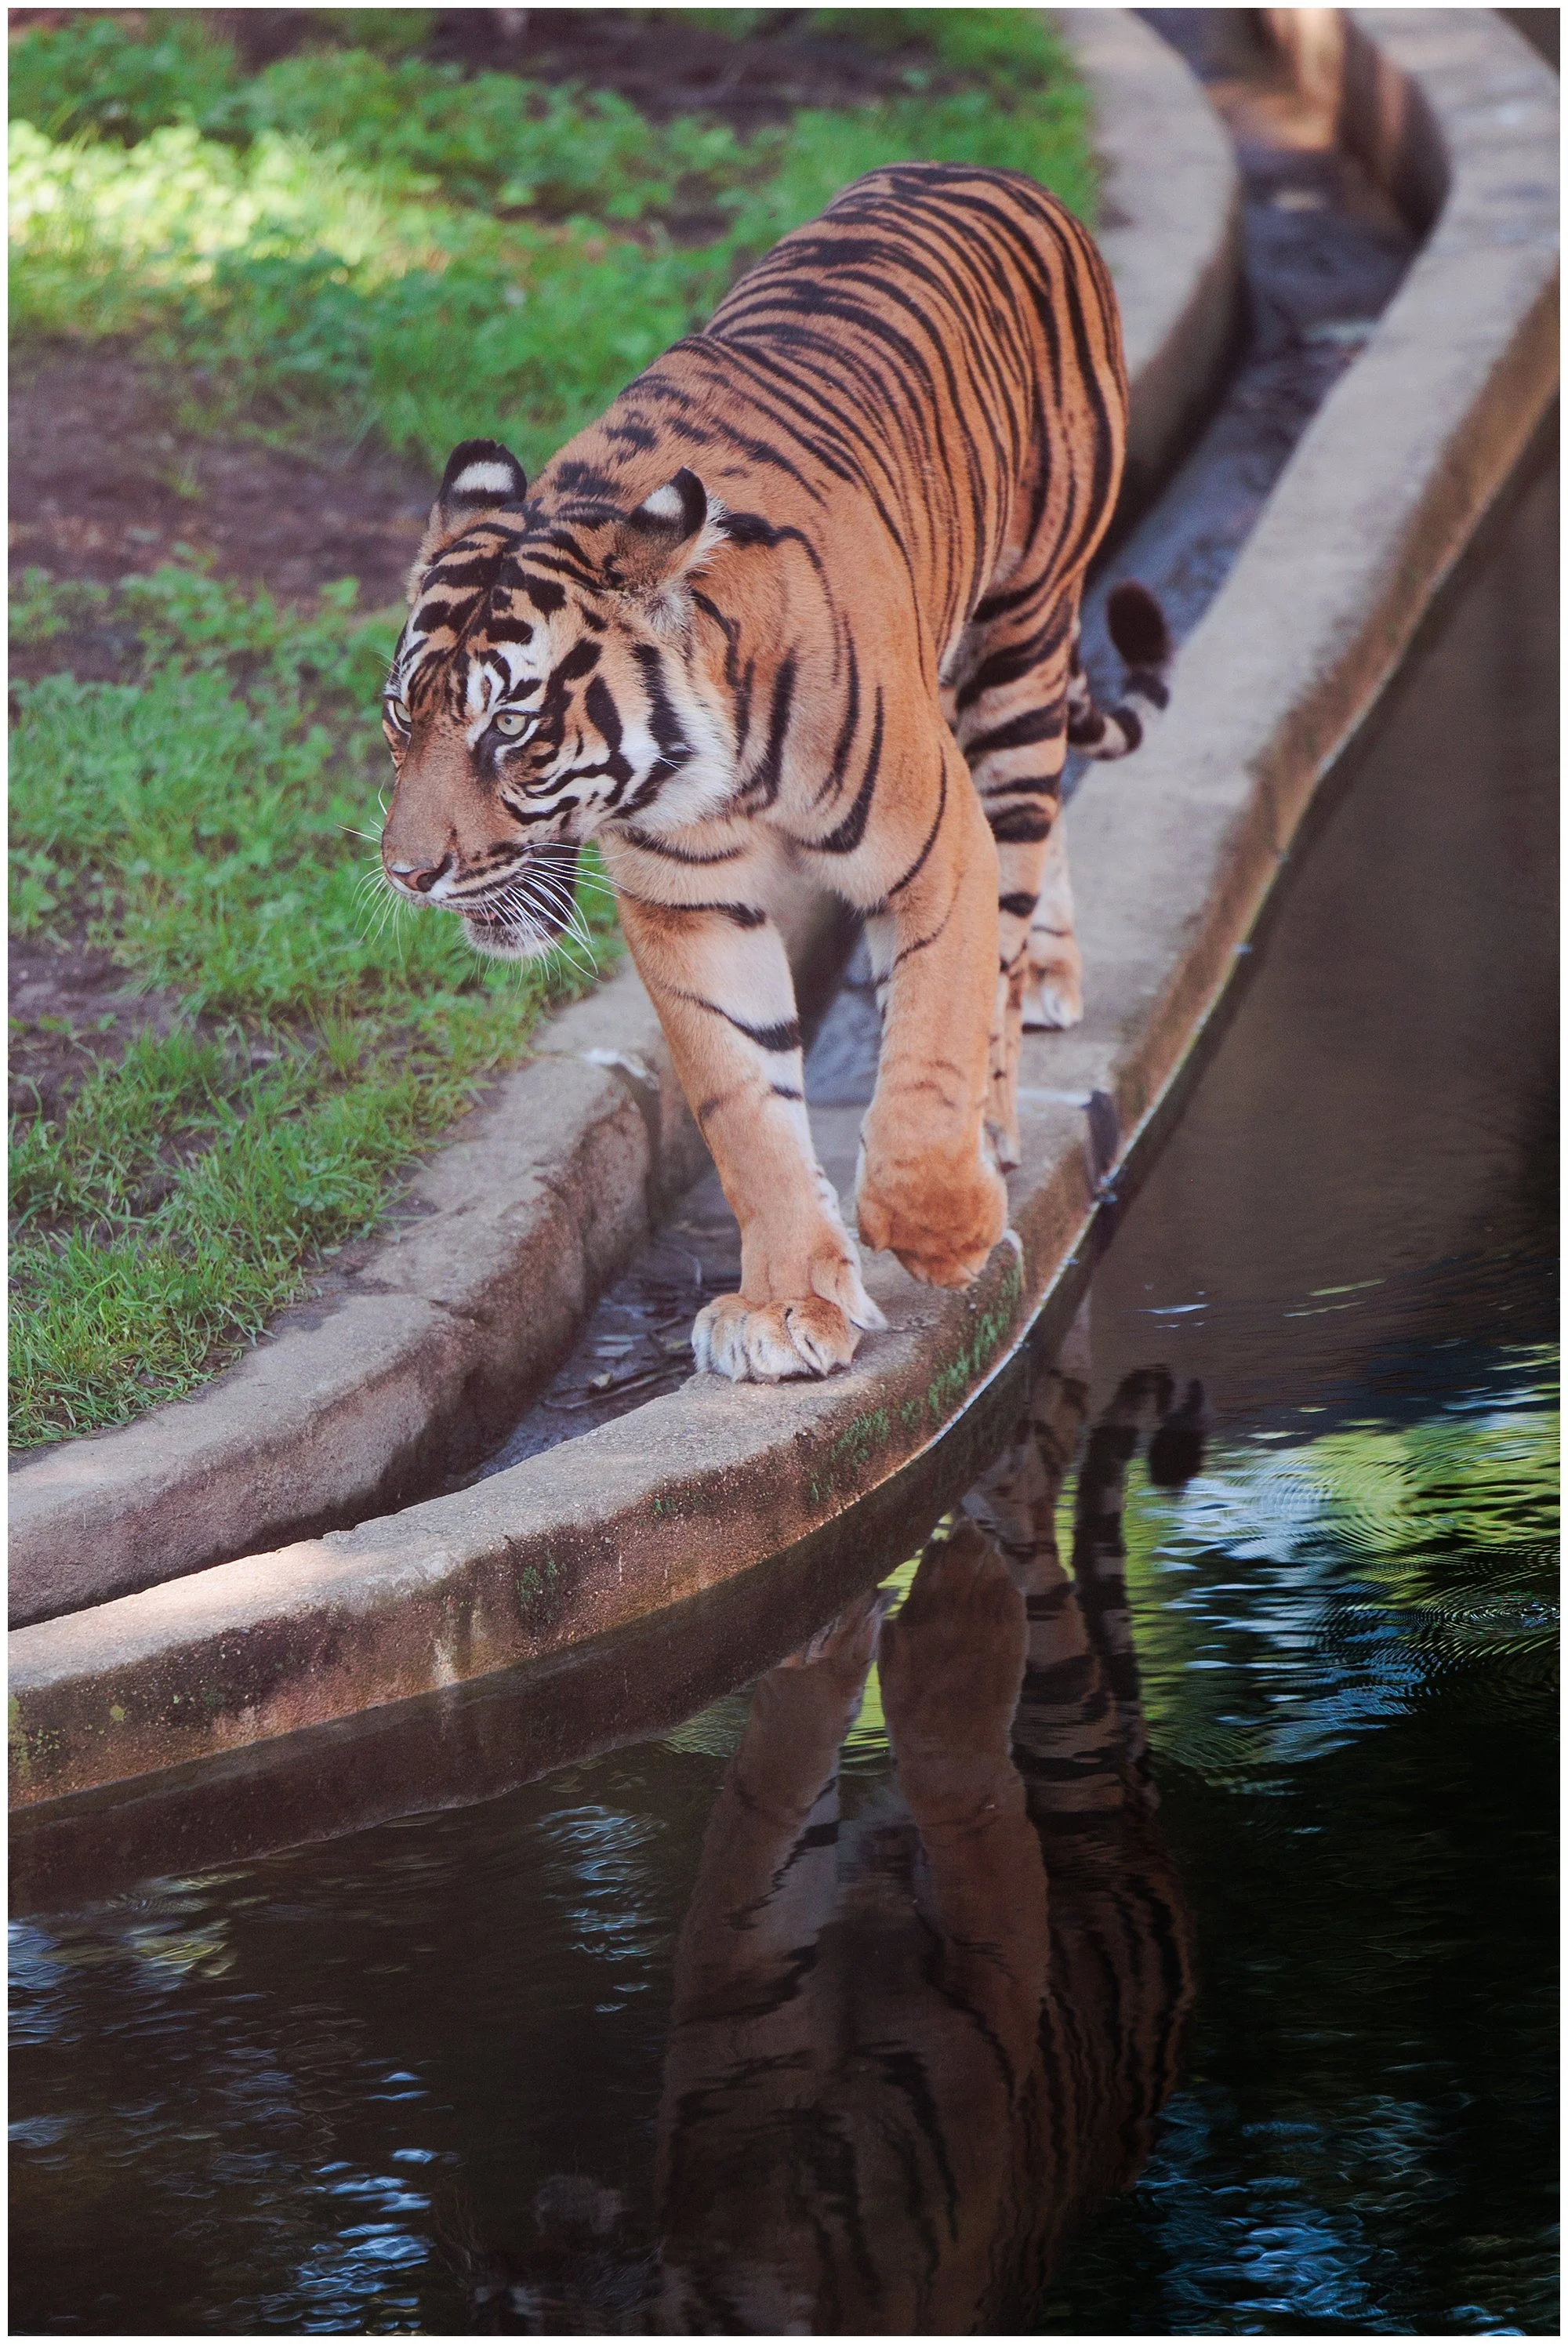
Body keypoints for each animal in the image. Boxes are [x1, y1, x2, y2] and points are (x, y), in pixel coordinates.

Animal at [379, 163, 1172, 1385]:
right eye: (398, 719)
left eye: (508, 726)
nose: (407, 873)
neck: (706, 766)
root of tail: (990, 170)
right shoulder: (690, 902)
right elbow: (747, 1102)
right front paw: (790, 1304)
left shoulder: (932, 843)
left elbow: (928, 1039)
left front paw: (940, 1229)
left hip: (1021, 641)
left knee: (1020, 849)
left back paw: (1005, 1076)